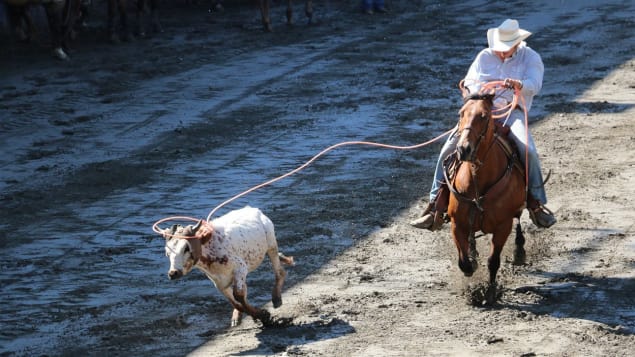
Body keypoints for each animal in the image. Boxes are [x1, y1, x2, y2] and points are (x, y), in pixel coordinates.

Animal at [163, 206, 294, 326]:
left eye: (186, 248)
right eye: (167, 252)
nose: (173, 273)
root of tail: (254, 209)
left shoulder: (240, 267)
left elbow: (238, 295)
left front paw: (264, 315)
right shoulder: (218, 281)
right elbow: (235, 302)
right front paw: (257, 315)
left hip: (271, 245)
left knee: (280, 271)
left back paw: (276, 298)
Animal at [450, 80, 528, 304]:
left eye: (484, 116)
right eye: (461, 113)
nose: (463, 149)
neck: (477, 179)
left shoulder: (503, 226)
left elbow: (493, 261)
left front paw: (490, 293)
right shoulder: (456, 224)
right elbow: (463, 261)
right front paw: (471, 269)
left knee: (519, 220)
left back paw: (520, 250)